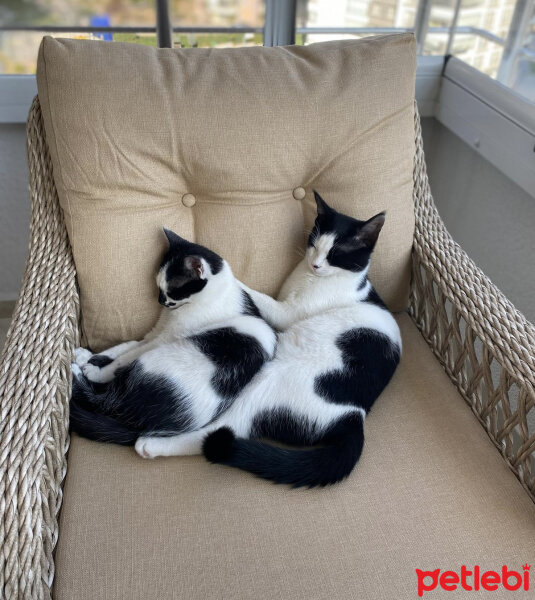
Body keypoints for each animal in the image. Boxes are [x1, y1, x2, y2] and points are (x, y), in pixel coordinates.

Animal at [70, 230, 276, 446]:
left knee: (103, 400)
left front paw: (97, 368)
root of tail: (143, 429)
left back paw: (83, 373)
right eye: (158, 287)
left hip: (152, 362)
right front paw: (88, 355)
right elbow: (127, 345)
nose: (160, 301)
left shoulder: (163, 339)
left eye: (171, 291)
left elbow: (125, 357)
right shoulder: (156, 332)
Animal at [135, 192, 402, 488]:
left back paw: (152, 445)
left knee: (218, 431)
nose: (315, 264)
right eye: (313, 244)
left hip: (267, 384)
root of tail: (353, 416)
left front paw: (225, 276)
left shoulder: (287, 313)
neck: (310, 279)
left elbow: (254, 293)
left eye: (335, 254)